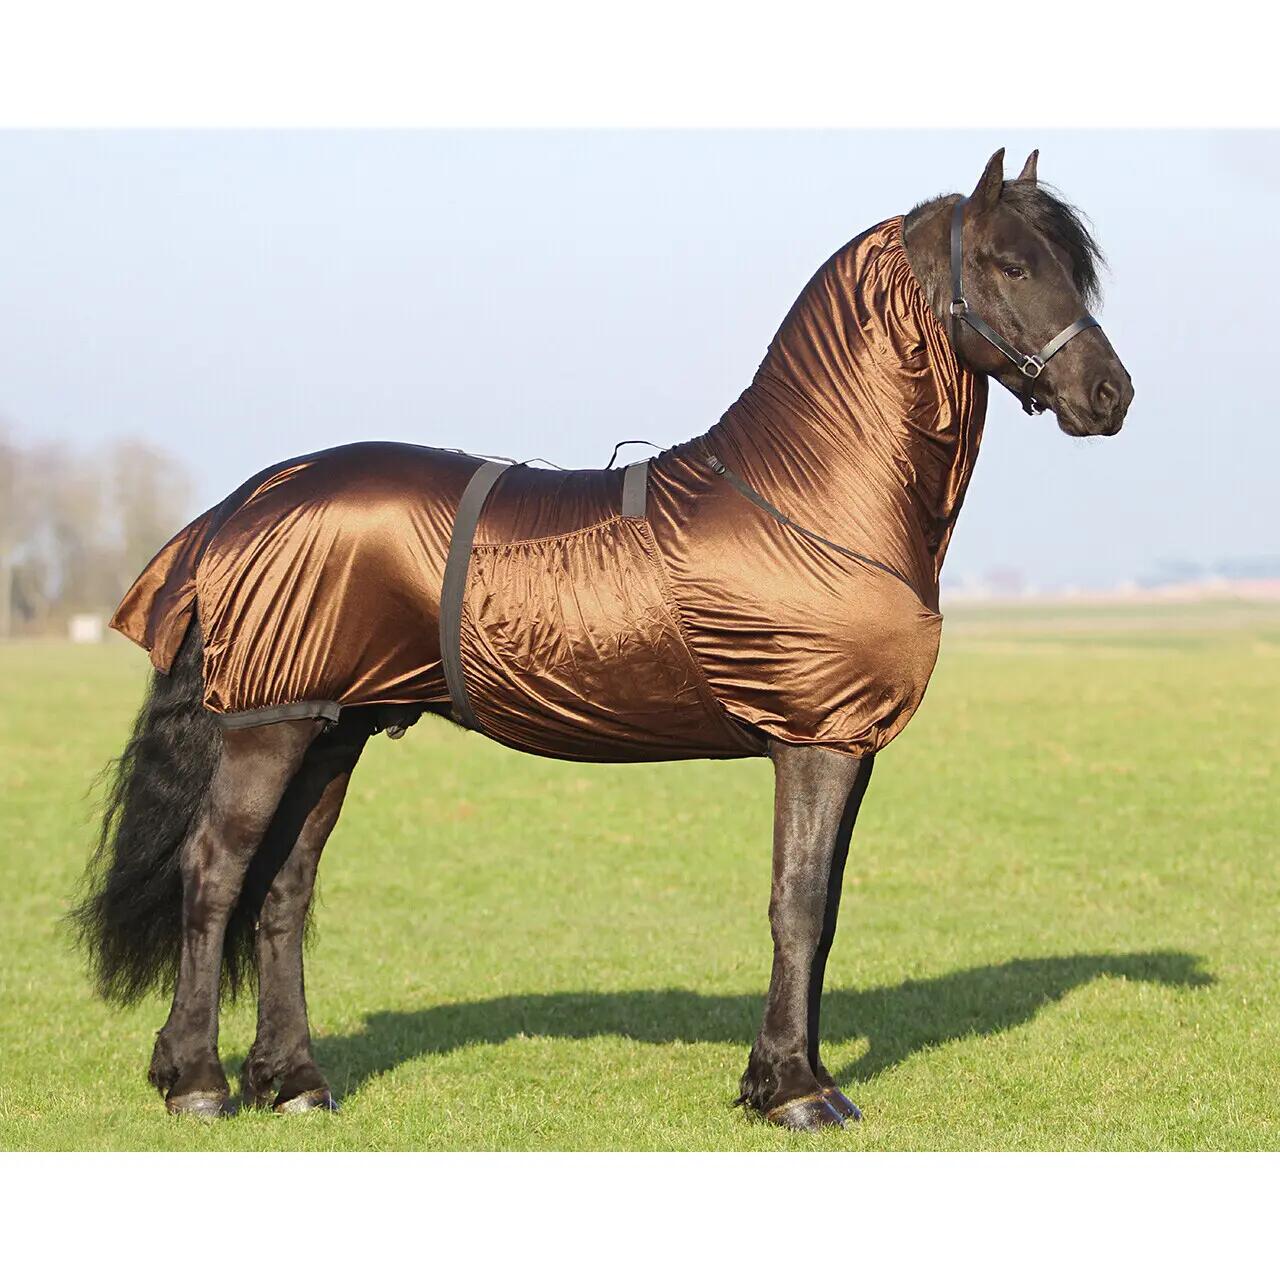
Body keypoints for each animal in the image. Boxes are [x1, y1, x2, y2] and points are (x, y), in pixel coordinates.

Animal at [72, 148, 1132, 1130]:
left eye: (1071, 269)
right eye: (1008, 263)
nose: (1110, 395)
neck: (811, 497)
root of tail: (244, 502)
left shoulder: (850, 743)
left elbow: (824, 911)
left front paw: (794, 1077)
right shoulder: (816, 740)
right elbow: (796, 904)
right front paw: (793, 1091)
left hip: (334, 727)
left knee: (284, 890)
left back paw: (293, 1082)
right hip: (271, 726)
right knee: (216, 875)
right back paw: (197, 1083)